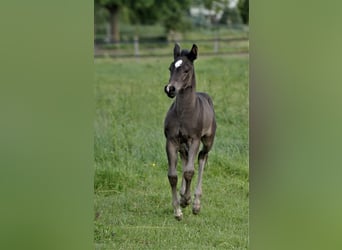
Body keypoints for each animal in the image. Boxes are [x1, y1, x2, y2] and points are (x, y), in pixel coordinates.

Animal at [164, 44, 216, 220]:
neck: (184, 113)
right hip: (182, 144)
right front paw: (177, 210)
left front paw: (187, 201)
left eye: (186, 70)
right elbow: (173, 175)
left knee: (201, 159)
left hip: (207, 141)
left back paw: (196, 203)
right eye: (170, 68)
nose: (170, 89)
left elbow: (189, 172)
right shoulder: (171, 141)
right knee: (186, 158)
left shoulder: (194, 140)